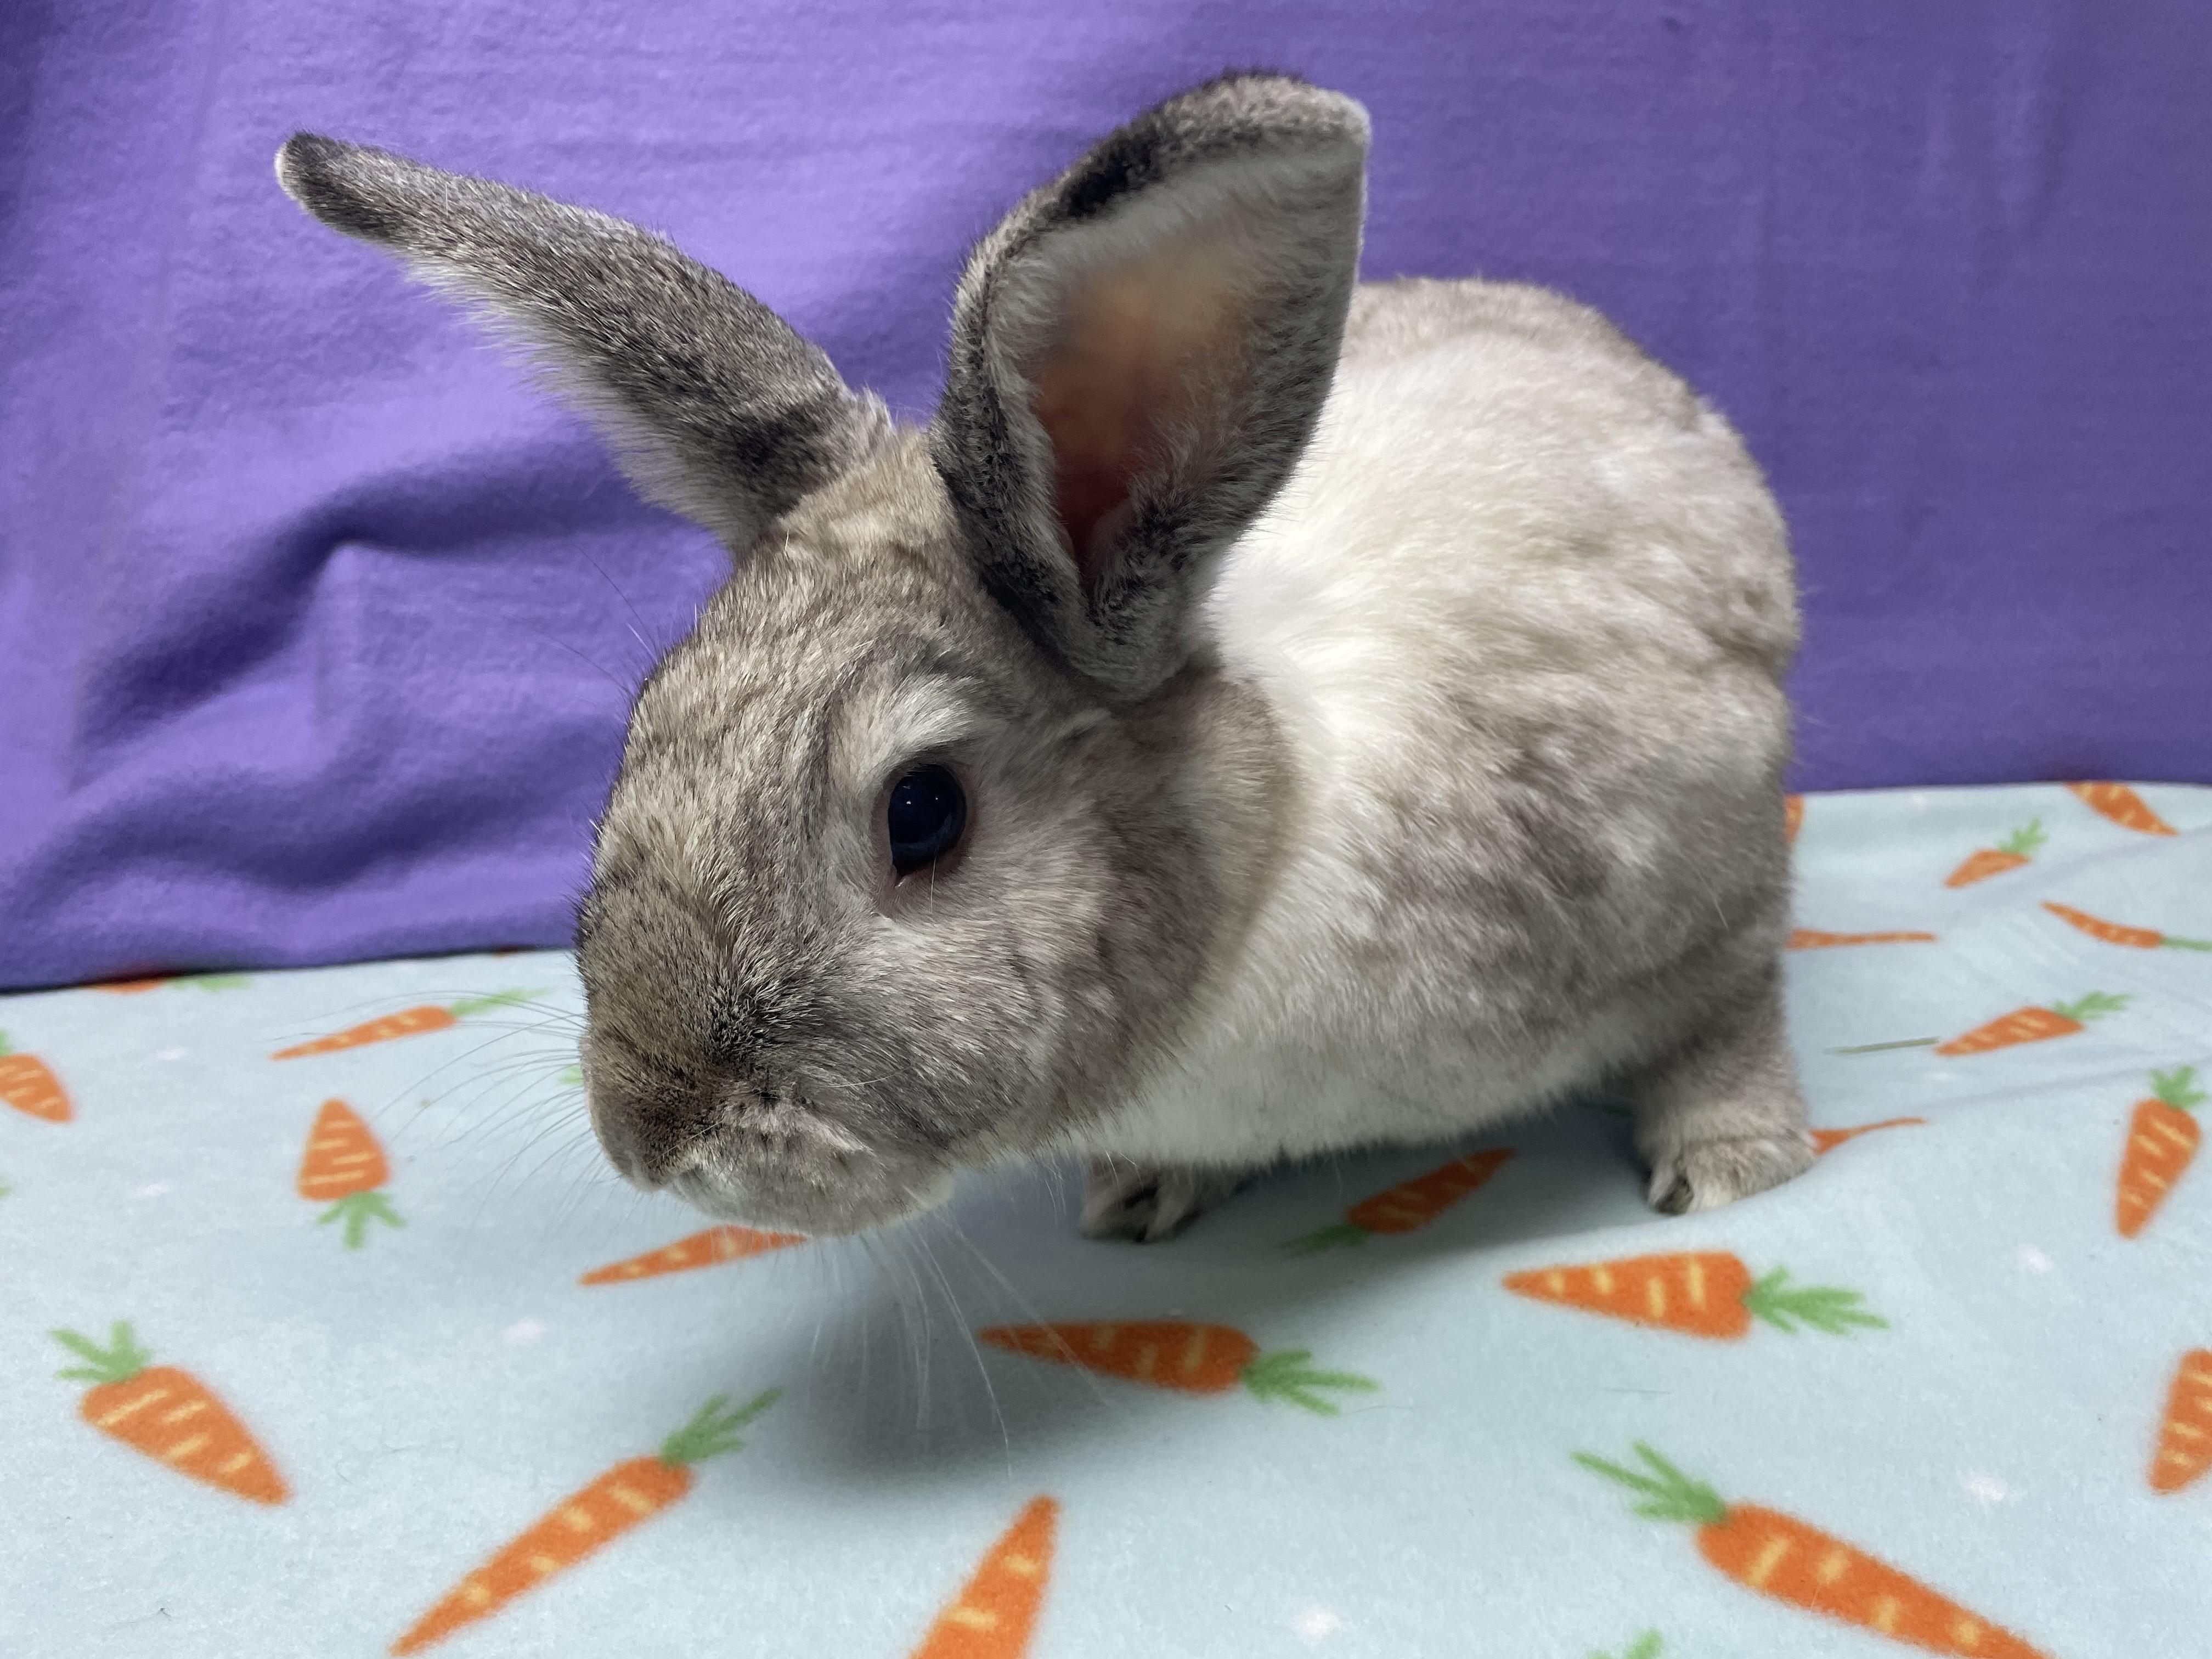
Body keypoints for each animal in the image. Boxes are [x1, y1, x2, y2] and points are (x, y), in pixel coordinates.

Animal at [276, 71, 1813, 1244]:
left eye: (923, 813)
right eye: (646, 722)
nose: (647, 1135)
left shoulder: (1707, 879)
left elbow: (1735, 1010)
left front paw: (1735, 1162)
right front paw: (1141, 1194)